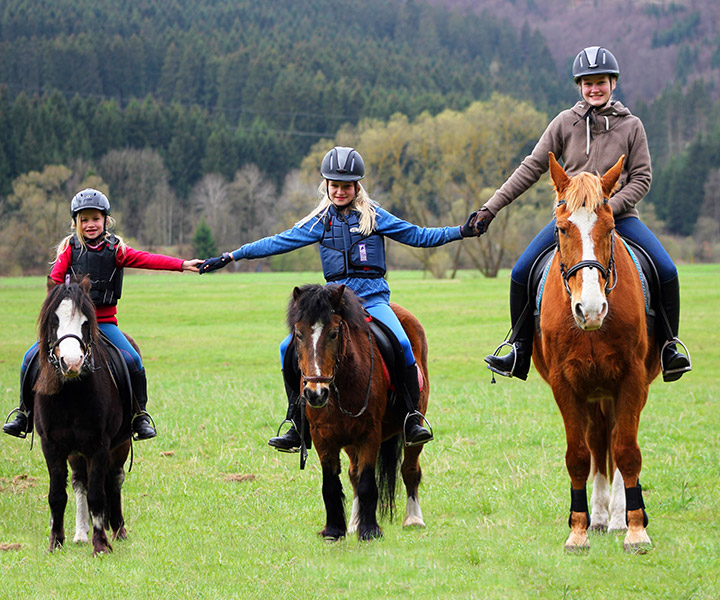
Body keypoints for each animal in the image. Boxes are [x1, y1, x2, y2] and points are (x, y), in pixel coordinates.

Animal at [33, 274, 133, 556]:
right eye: (53, 321)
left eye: (86, 322)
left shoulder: (99, 445)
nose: (72, 362)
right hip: (75, 453)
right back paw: (80, 533)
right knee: (80, 483)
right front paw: (56, 542)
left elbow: (98, 495)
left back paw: (118, 530)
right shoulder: (51, 445)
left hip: (120, 445)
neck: (71, 393)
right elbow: (57, 495)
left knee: (114, 480)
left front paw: (101, 545)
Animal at [290, 284, 430, 540]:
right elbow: (332, 484)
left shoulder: (369, 434)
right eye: (298, 334)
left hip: (413, 429)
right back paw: (355, 521)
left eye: (334, 333)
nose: (316, 393)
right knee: (353, 474)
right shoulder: (323, 436)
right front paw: (334, 530)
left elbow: (367, 482)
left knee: (409, 469)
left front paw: (370, 531)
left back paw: (414, 519)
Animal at [532, 154, 660, 552]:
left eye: (610, 228)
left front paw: (635, 529)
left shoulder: (632, 380)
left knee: (616, 441)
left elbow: (627, 452)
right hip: (593, 392)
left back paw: (617, 517)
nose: (590, 309)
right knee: (599, 440)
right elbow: (579, 456)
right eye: (561, 229)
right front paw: (578, 530)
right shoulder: (565, 384)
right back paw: (601, 516)